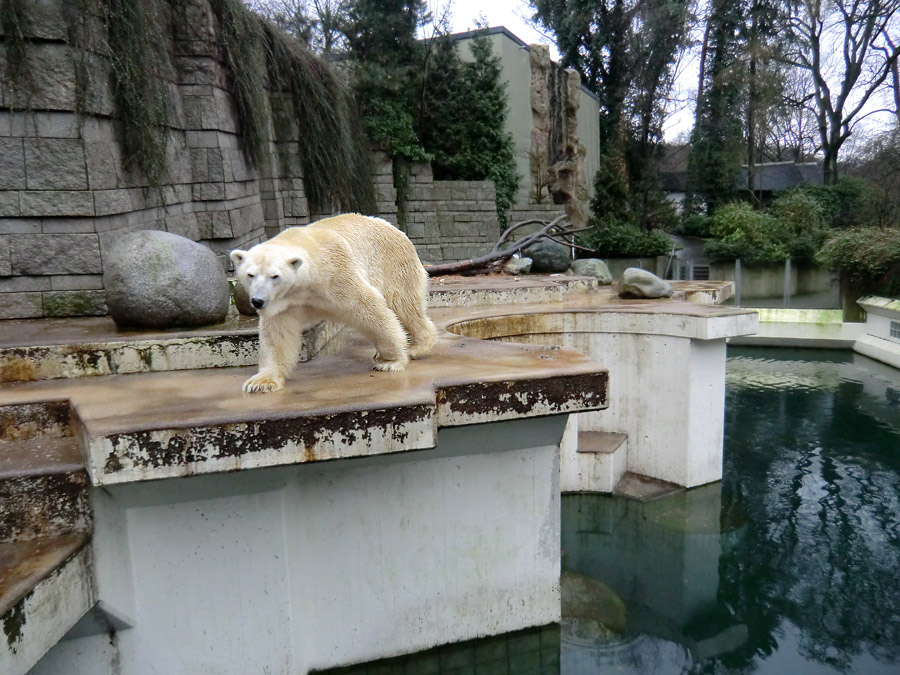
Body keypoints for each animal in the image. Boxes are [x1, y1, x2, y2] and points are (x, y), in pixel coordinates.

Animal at [230, 214, 438, 394]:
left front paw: (390, 361)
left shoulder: (337, 275)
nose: (258, 301)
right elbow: (277, 334)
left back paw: (417, 346)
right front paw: (261, 382)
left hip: (394, 265)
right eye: (250, 274)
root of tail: (396, 230)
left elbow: (370, 308)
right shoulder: (284, 303)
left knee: (404, 305)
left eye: (275, 276)